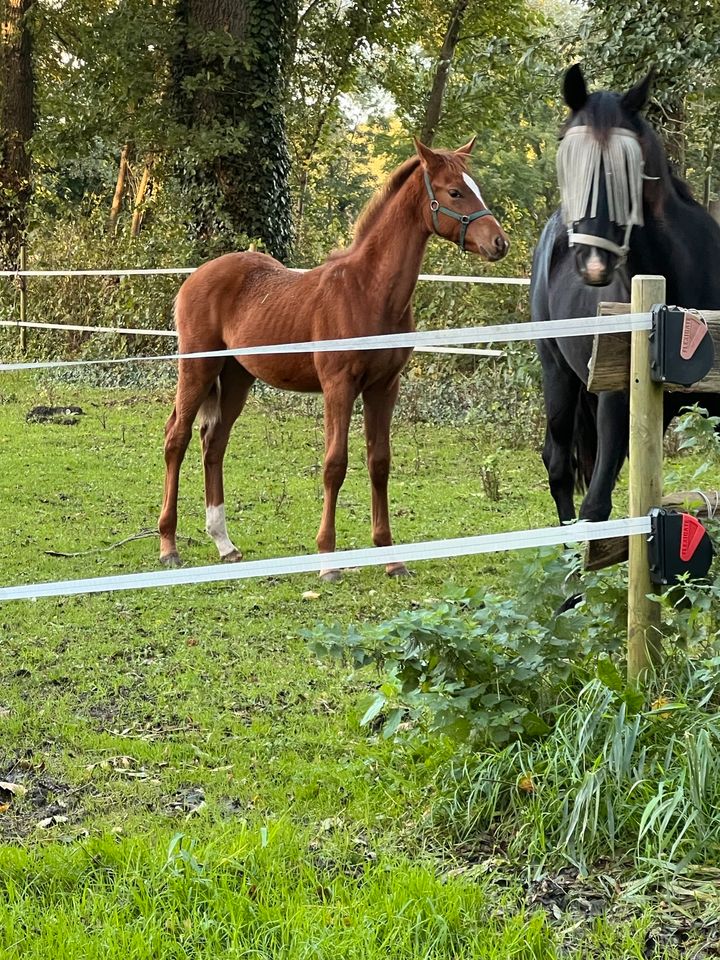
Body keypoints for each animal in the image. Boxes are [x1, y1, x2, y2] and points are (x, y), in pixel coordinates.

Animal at [159, 137, 506, 576]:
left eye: (475, 186)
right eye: (455, 191)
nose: (499, 243)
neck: (368, 291)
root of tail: (195, 277)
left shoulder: (384, 387)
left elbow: (379, 463)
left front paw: (391, 557)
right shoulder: (338, 386)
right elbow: (334, 465)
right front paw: (328, 560)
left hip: (237, 376)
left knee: (214, 442)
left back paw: (225, 543)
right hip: (199, 367)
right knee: (178, 437)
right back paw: (168, 545)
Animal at [528, 63, 720, 528]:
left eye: (632, 165)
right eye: (566, 153)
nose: (594, 263)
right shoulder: (616, 402)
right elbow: (596, 506)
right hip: (557, 374)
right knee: (558, 464)